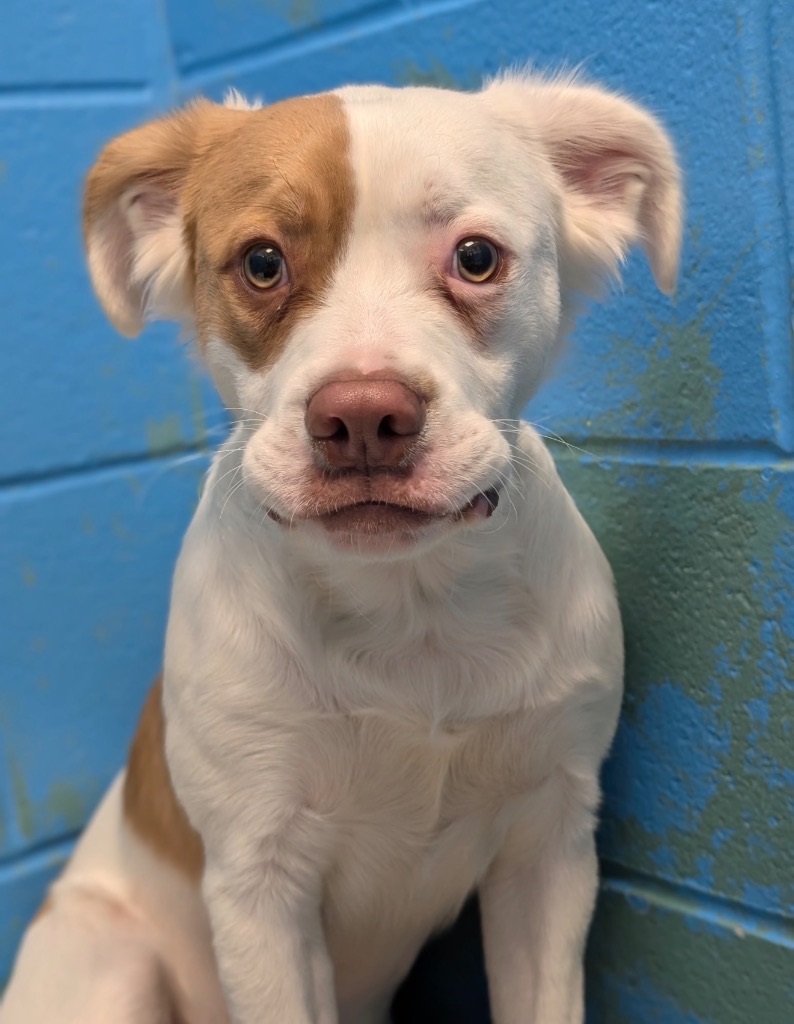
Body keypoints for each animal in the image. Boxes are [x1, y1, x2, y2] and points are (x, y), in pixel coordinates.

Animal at [0, 71, 681, 1024]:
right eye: (262, 263)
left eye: (477, 258)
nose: (363, 418)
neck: (408, 612)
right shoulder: (261, 889)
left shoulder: (549, 848)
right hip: (109, 960)